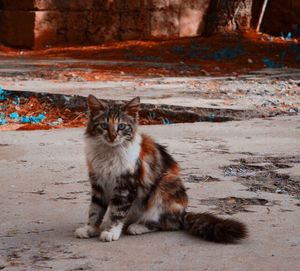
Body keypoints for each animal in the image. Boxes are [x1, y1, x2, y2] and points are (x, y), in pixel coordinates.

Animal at [75, 94, 248, 243]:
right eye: (104, 125)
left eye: (121, 126)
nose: (112, 137)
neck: (109, 153)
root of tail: (183, 213)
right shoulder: (98, 184)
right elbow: (95, 210)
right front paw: (90, 229)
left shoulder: (125, 186)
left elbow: (117, 212)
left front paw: (111, 232)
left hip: (165, 185)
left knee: (167, 224)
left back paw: (137, 227)